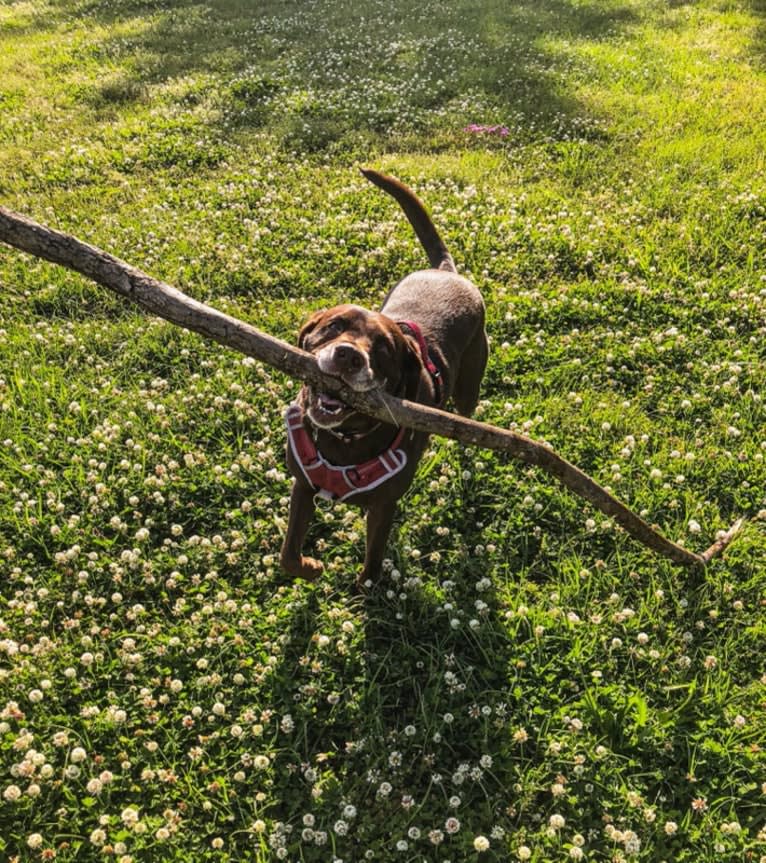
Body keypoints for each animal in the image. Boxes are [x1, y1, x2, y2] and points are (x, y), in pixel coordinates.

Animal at [280, 169, 486, 588]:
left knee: (466, 419)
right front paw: (311, 568)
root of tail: (445, 271)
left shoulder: (383, 506)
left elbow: (373, 563)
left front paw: (364, 594)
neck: (344, 440)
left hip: (468, 387)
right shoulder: (302, 486)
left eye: (384, 350)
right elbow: (288, 554)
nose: (348, 355)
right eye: (334, 326)